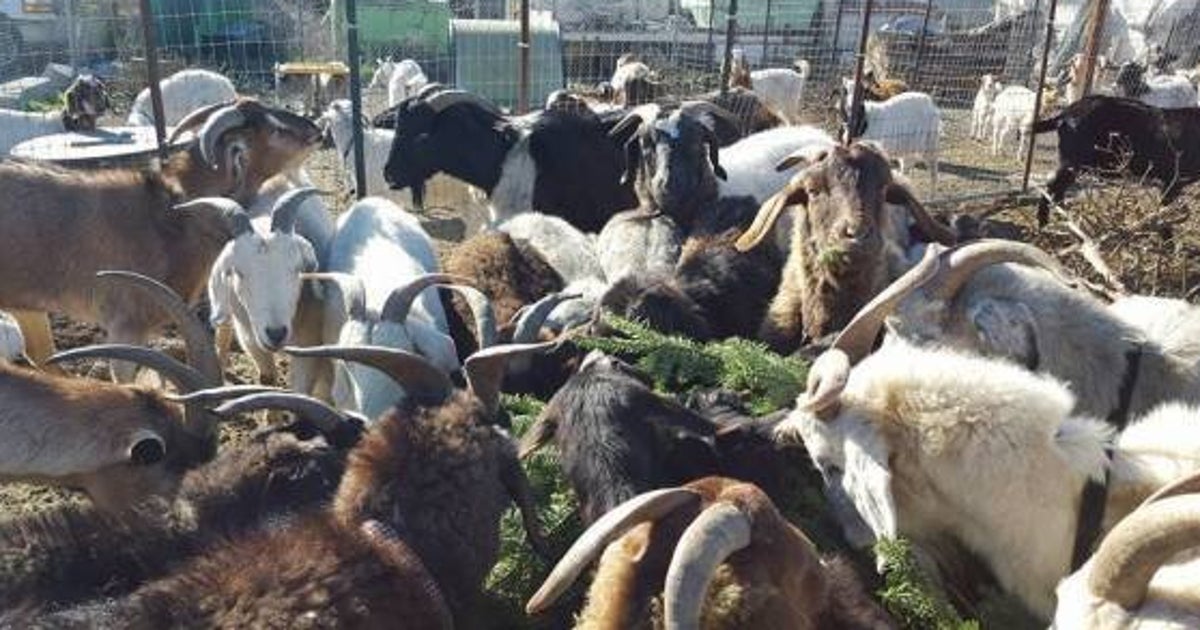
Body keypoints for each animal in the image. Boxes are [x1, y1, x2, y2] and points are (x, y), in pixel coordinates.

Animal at [1033, 95, 1200, 224]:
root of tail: (1065, 113)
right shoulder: (1173, 180)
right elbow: (1163, 209)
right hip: (1073, 161)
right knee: (1053, 185)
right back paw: (1045, 222)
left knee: (1057, 187)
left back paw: (1063, 216)